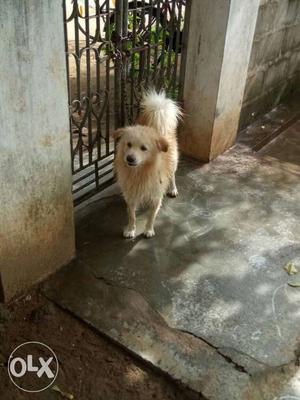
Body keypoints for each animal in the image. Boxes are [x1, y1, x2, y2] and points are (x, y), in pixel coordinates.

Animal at [113, 90, 182, 238]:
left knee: (172, 175)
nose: (130, 158)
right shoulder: (131, 195)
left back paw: (173, 188)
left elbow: (151, 216)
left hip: (173, 162)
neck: (140, 172)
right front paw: (130, 229)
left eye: (143, 148)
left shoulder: (156, 196)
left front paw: (149, 230)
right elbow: (131, 215)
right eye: (128, 144)